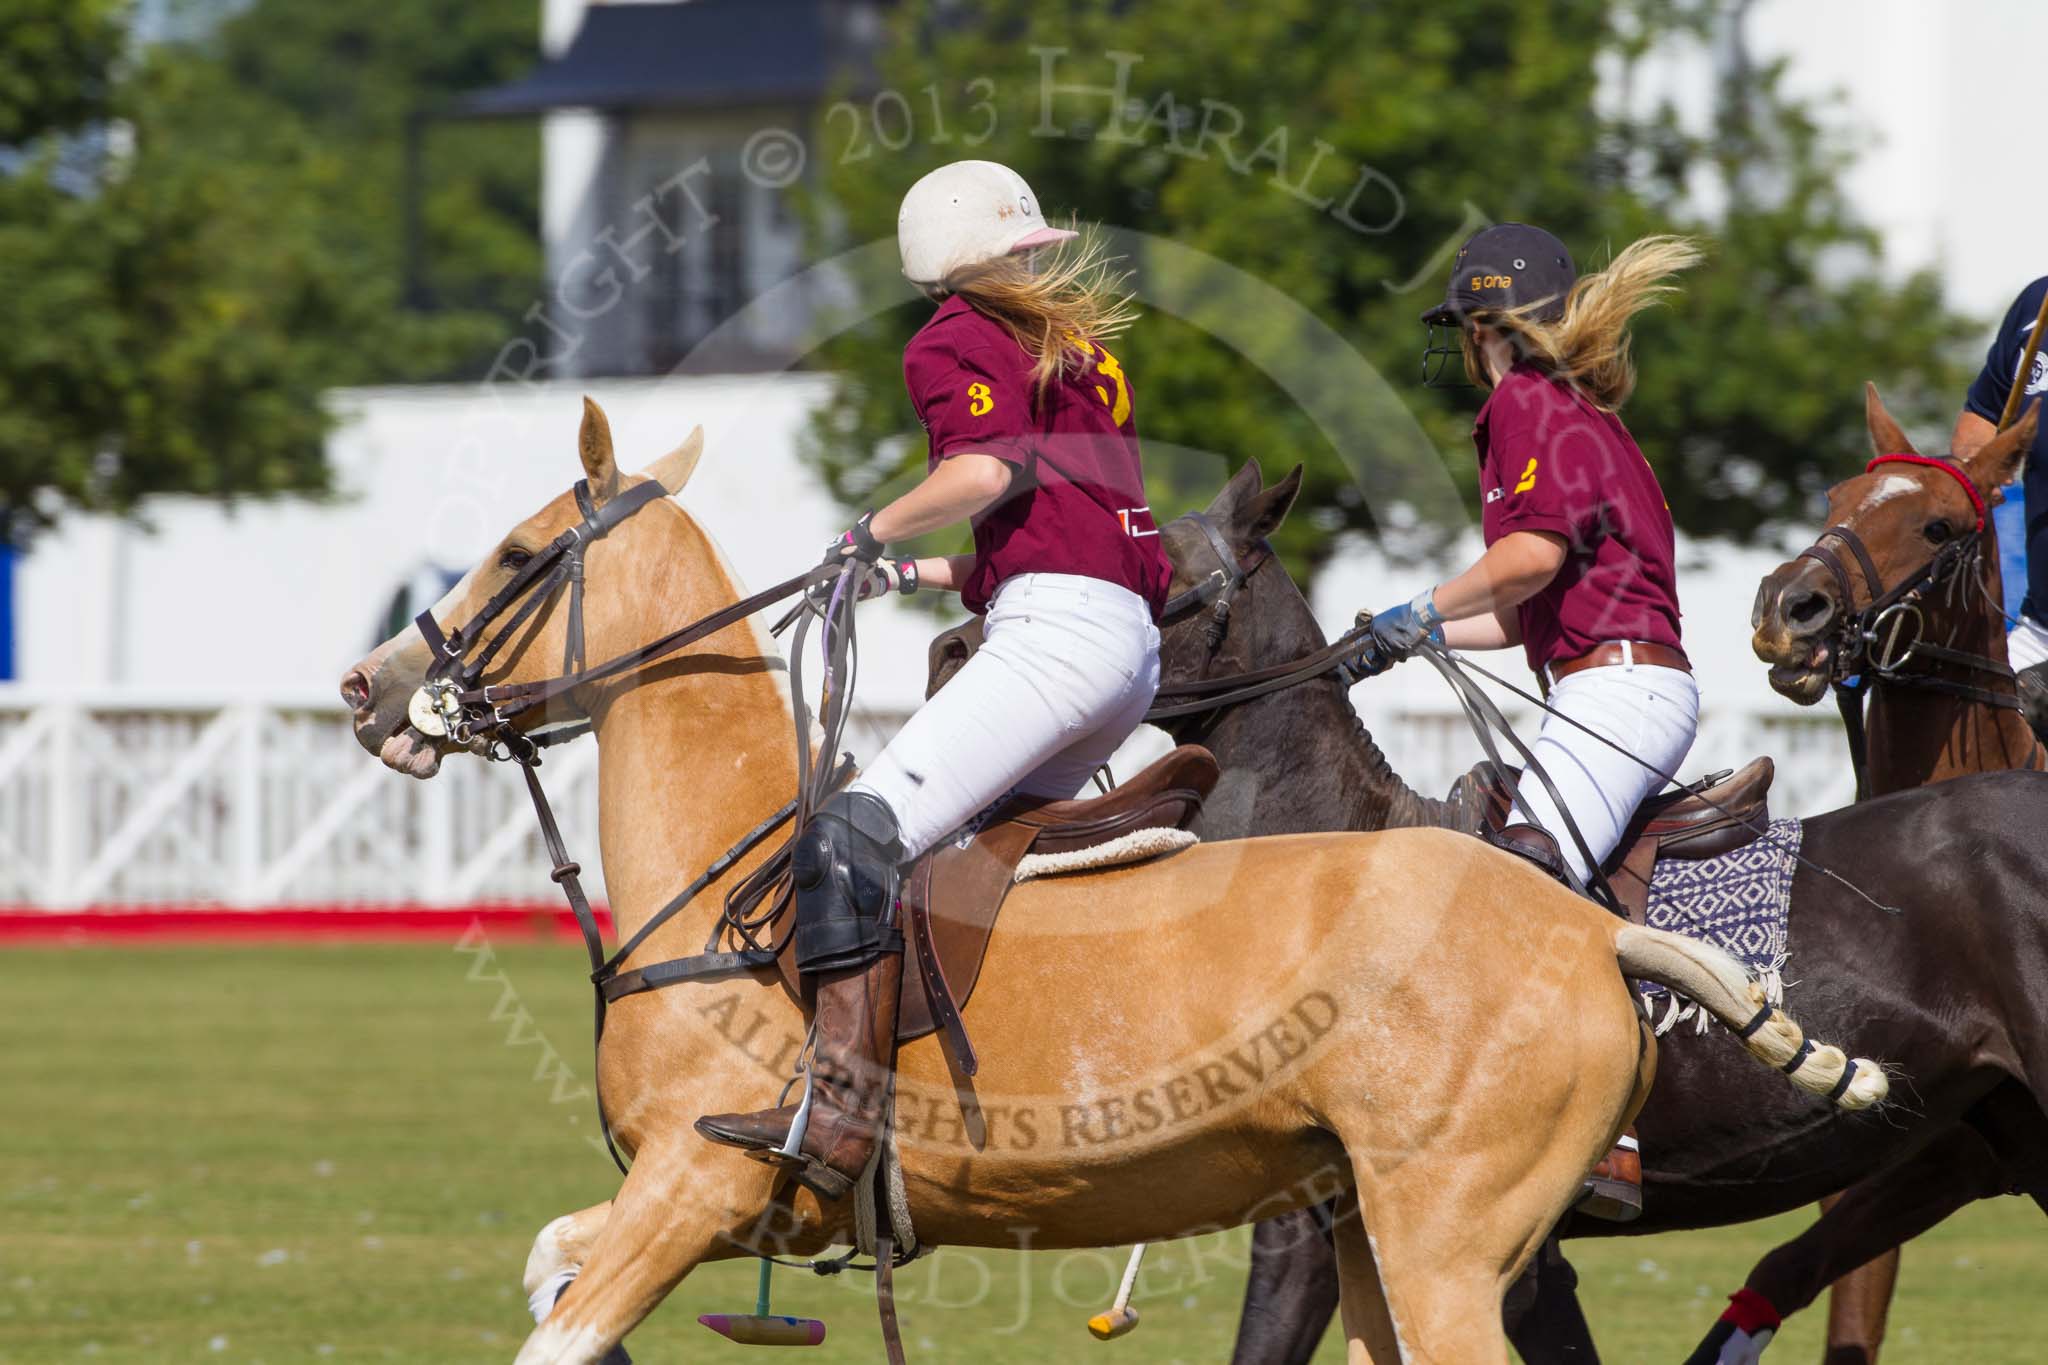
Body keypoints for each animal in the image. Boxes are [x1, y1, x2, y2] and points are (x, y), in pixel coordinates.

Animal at [344, 405, 1875, 1365]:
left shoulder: (699, 1180)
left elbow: (558, 1328)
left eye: (521, 555)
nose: (368, 684)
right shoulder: (697, 1203)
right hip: (1372, 1230)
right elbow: (549, 1267)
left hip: (1447, 1243)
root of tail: (1593, 935)